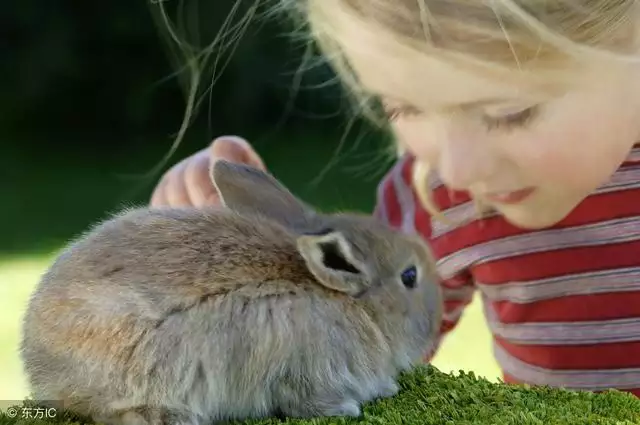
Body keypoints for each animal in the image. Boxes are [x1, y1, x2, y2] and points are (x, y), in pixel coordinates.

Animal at [18, 159, 440, 424]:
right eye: (409, 276)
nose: (434, 321)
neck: (355, 306)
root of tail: (38, 359)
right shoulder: (309, 373)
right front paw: (351, 408)